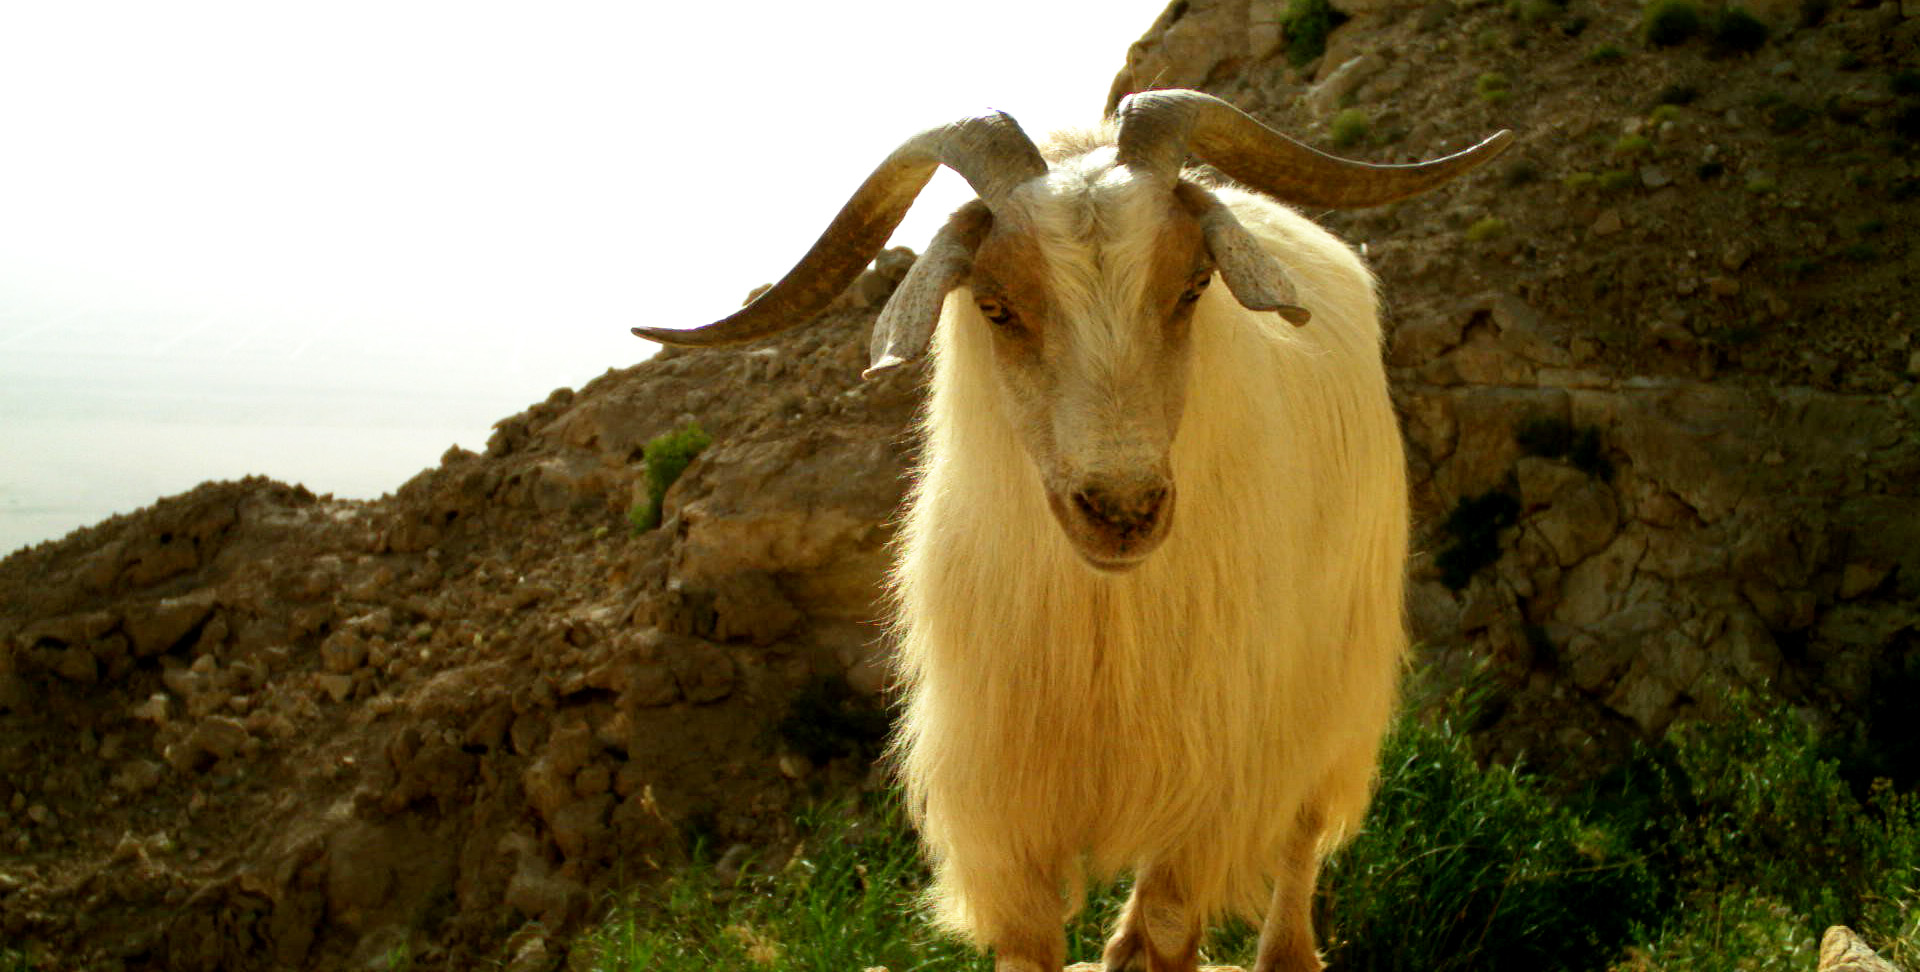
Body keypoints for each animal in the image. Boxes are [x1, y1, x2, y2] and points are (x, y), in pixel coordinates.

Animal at [645, 91, 1512, 972]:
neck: (1103, 614)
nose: (1122, 509)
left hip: (1335, 684)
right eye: (995, 306)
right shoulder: (1006, 807)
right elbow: (1038, 941)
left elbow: (1173, 926)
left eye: (1195, 285)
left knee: (1302, 834)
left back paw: (1284, 953)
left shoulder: (1213, 776)